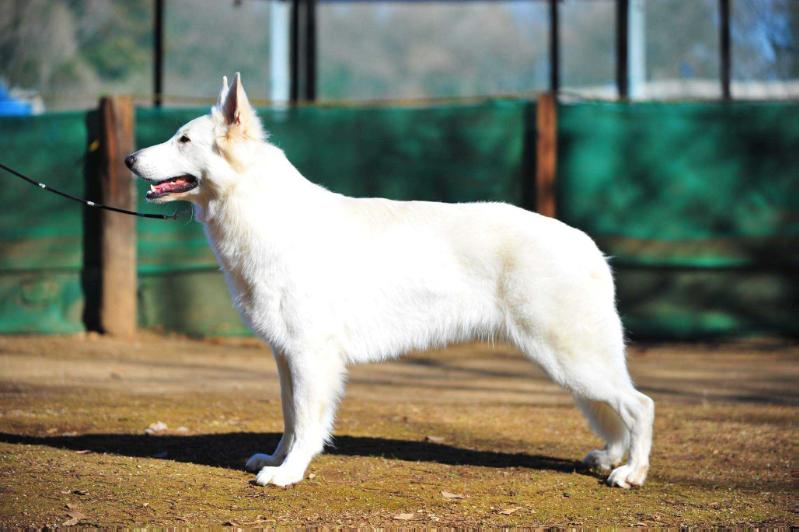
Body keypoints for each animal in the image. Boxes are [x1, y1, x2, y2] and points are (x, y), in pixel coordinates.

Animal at [125, 72, 652, 488]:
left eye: (183, 140)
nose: (129, 159)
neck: (263, 211)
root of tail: (588, 245)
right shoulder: (285, 357)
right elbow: (290, 419)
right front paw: (276, 459)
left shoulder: (311, 357)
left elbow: (307, 423)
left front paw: (289, 473)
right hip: (572, 364)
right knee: (617, 410)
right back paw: (612, 459)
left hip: (569, 358)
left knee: (639, 405)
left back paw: (631, 472)